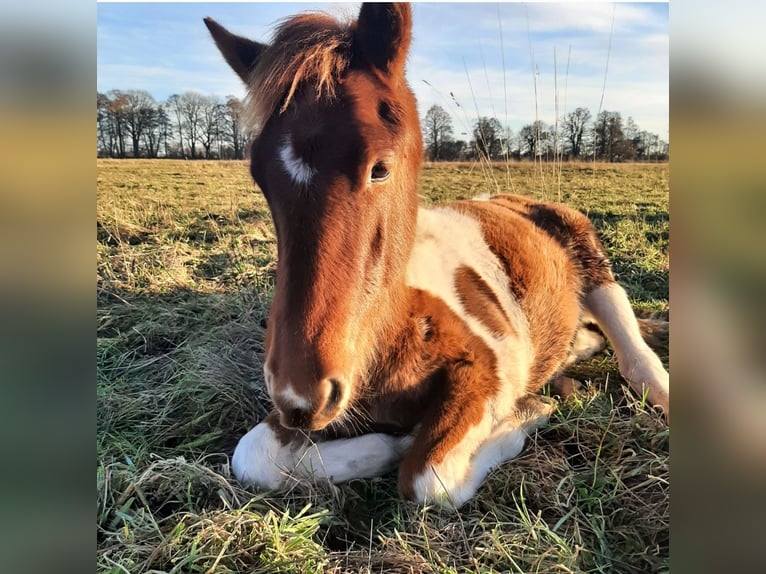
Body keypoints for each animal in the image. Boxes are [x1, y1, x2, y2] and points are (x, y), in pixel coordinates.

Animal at [207, 3, 668, 508]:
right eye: (259, 175)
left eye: (380, 168)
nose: (300, 397)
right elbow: (251, 457)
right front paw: (387, 444)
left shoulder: (491, 367)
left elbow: (430, 476)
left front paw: (526, 411)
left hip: (595, 265)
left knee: (637, 360)